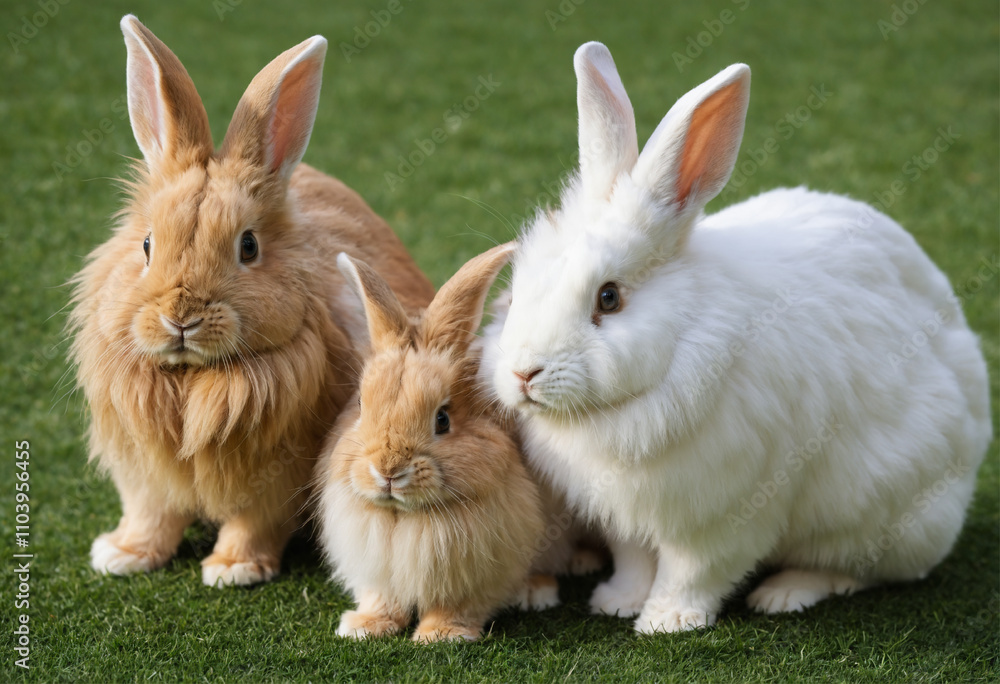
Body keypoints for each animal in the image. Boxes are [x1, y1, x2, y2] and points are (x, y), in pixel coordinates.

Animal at [69, 15, 434, 588]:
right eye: (147, 244)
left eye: (248, 246)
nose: (181, 318)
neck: (192, 379)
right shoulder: (143, 475)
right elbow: (151, 515)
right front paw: (122, 556)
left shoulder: (274, 483)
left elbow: (253, 522)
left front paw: (232, 570)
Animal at [315, 243, 559, 643]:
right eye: (361, 406)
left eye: (442, 419)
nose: (387, 470)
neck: (406, 518)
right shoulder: (377, 571)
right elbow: (381, 598)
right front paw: (364, 627)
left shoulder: (479, 572)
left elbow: (459, 605)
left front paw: (441, 635)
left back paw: (536, 593)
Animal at [480, 42, 992, 633]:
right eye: (516, 290)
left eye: (608, 298)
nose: (523, 373)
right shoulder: (624, 517)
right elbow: (635, 560)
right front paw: (617, 602)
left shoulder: (725, 513)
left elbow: (693, 571)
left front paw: (665, 622)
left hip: (883, 518)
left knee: (852, 571)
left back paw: (785, 593)